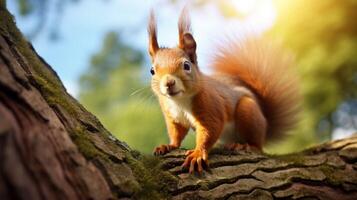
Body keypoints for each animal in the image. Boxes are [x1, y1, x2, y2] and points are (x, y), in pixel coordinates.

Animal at [147, 9, 300, 173]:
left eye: (186, 66)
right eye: (152, 71)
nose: (169, 83)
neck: (179, 101)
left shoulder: (211, 107)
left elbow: (210, 130)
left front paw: (197, 153)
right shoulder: (173, 116)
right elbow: (176, 133)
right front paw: (168, 146)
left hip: (248, 111)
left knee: (257, 146)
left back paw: (245, 146)